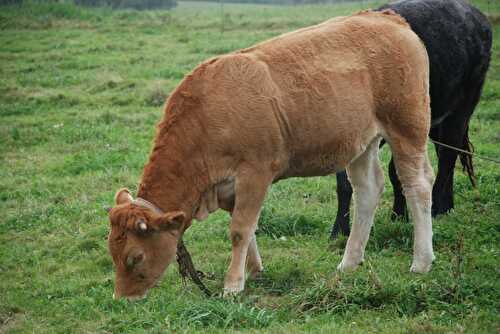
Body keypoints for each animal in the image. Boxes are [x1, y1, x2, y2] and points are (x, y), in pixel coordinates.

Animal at [108, 9, 434, 300]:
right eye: (112, 251)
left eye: (135, 256)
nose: (123, 298)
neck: (205, 115)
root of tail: (387, 17)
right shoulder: (229, 188)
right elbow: (248, 227)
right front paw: (253, 270)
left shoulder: (255, 172)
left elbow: (240, 229)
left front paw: (232, 285)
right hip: (361, 144)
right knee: (368, 190)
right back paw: (349, 262)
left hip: (407, 128)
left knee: (417, 185)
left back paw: (421, 261)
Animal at [330, 0, 490, 240]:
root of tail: (476, 16)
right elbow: (347, 181)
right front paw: (340, 231)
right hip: (434, 120)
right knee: (445, 154)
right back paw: (447, 206)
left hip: (462, 108)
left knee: (448, 156)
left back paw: (437, 209)